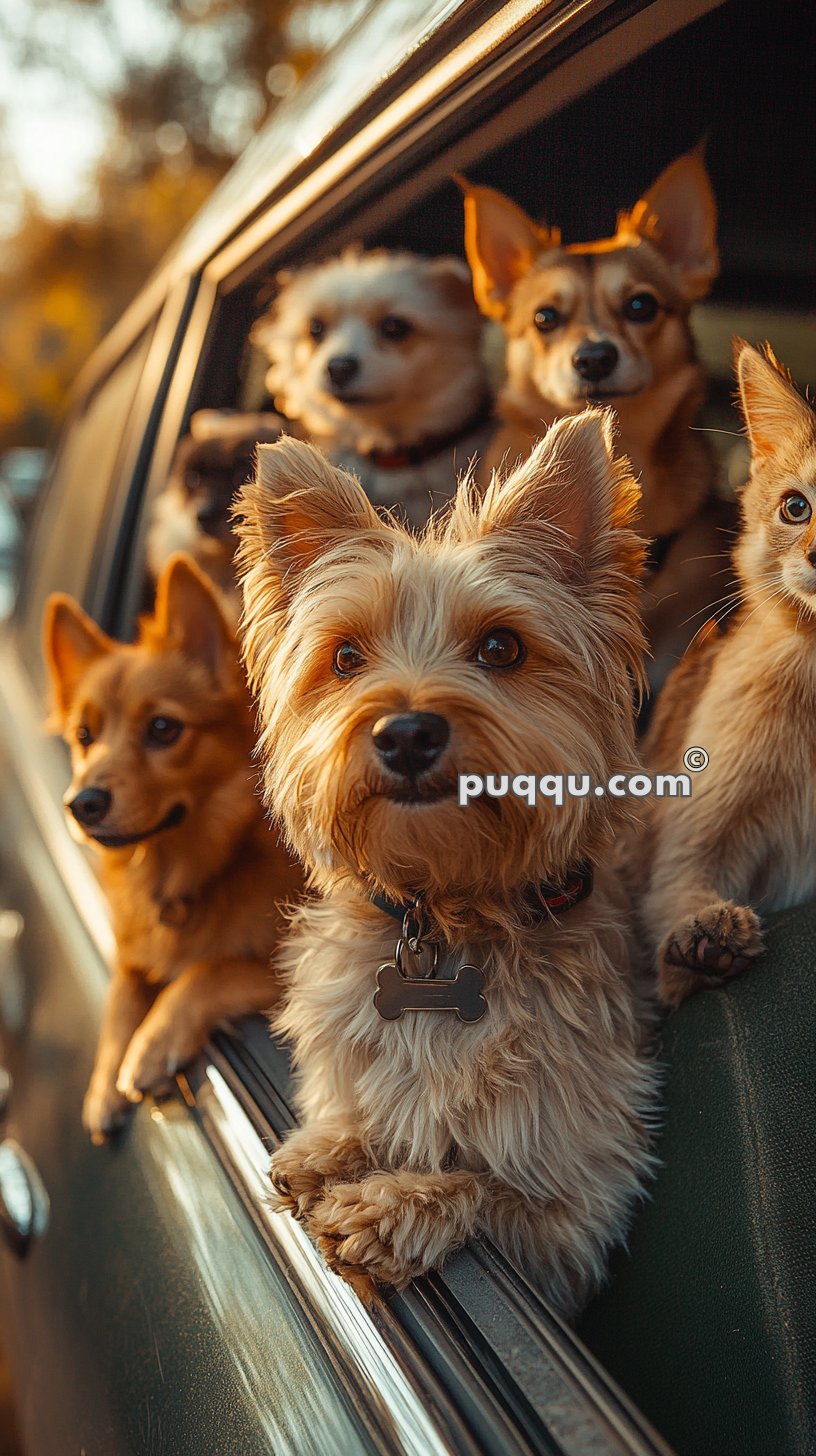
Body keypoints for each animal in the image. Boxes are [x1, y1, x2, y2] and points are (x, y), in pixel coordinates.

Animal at [42, 550, 303, 1141]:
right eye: (84, 736)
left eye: (164, 728)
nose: (80, 802)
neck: (182, 869)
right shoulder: (132, 951)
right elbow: (121, 992)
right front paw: (104, 1082)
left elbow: (211, 970)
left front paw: (151, 1044)